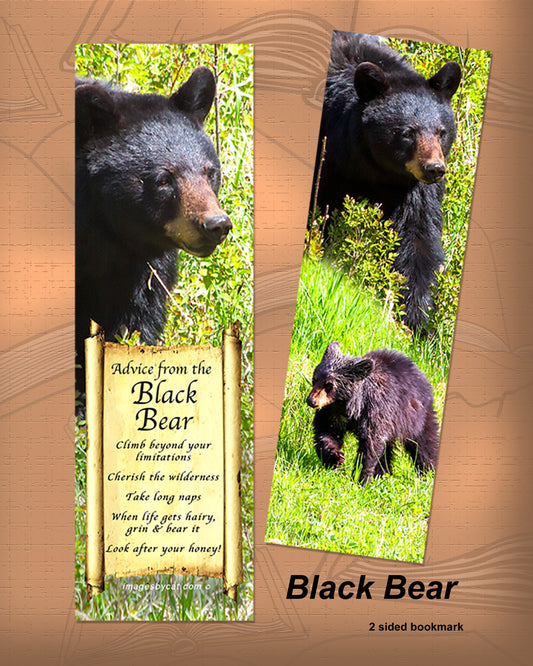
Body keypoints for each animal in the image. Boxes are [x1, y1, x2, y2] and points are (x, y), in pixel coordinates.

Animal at [306, 342, 439, 483]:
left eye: (329, 385)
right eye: (315, 379)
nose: (311, 400)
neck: (347, 406)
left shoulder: (375, 410)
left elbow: (370, 443)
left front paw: (360, 478)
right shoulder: (331, 412)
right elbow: (327, 431)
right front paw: (335, 457)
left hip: (416, 416)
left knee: (424, 443)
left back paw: (428, 471)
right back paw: (382, 474)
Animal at [313, 32, 462, 331]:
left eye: (441, 132)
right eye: (407, 132)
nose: (435, 169)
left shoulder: (413, 189)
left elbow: (418, 238)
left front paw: (418, 318)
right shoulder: (330, 161)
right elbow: (322, 209)